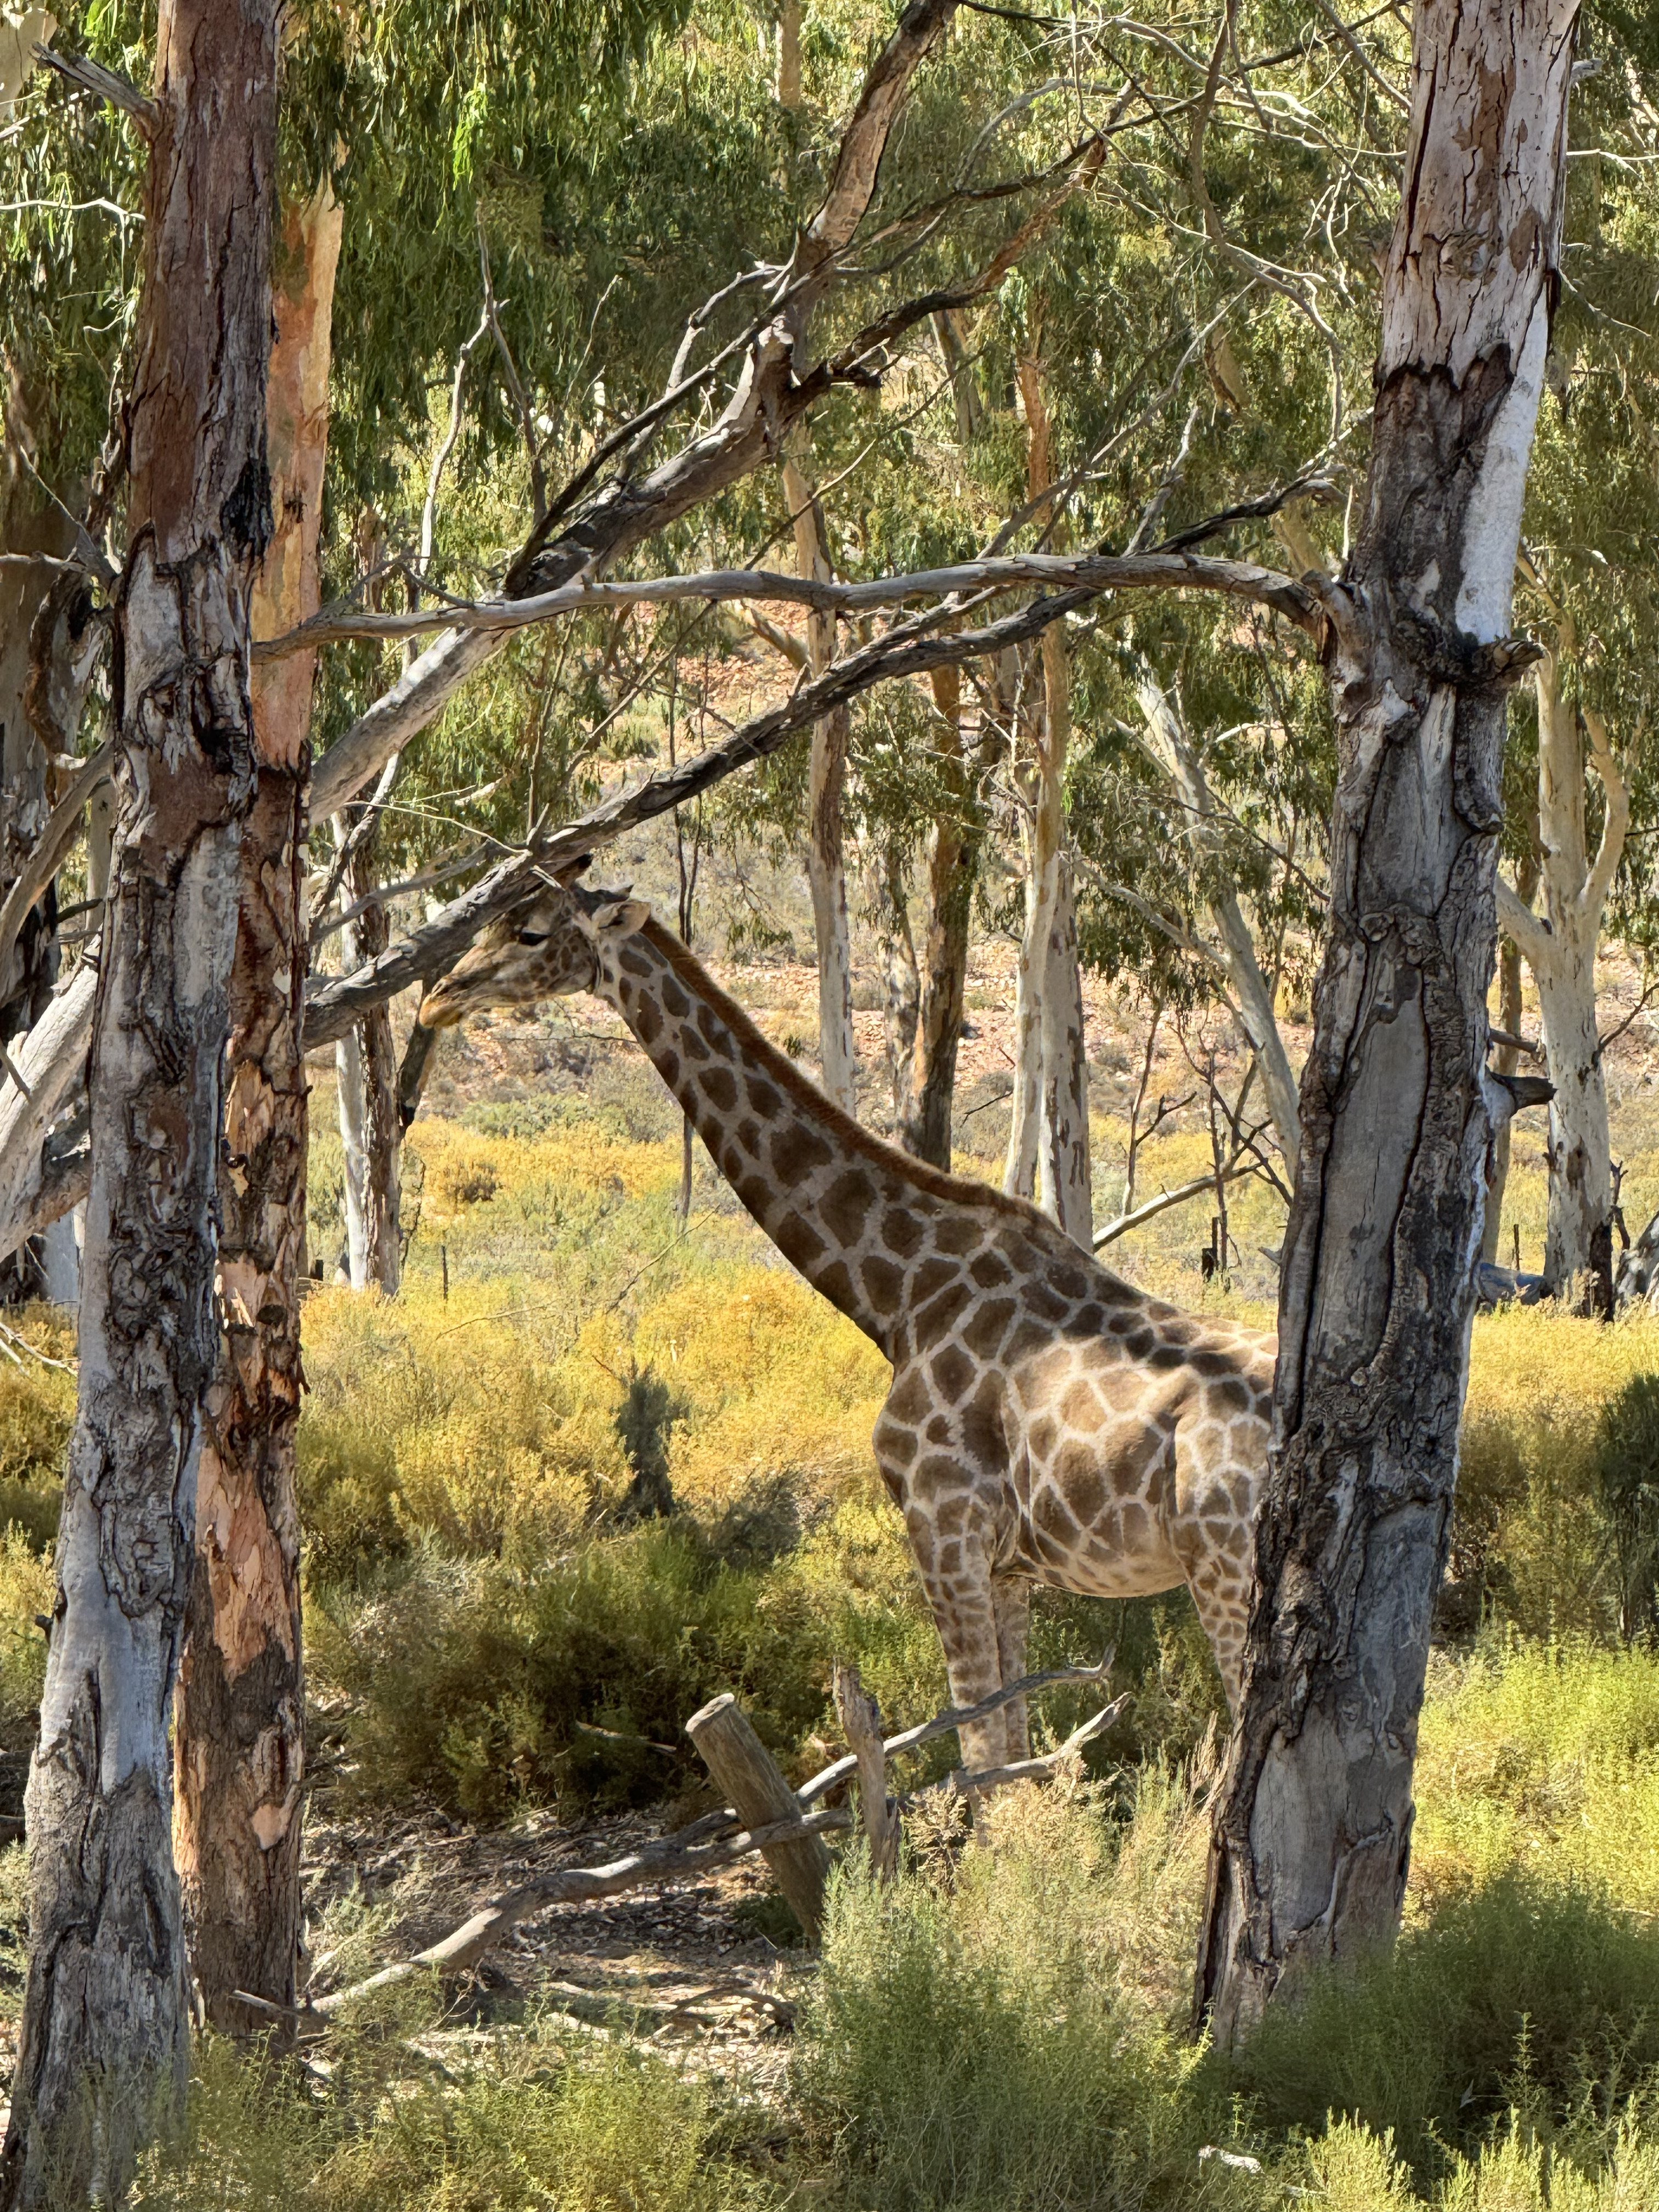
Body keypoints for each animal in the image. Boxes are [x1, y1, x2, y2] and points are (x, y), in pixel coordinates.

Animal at [419, 877, 1274, 1767]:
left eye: (529, 931)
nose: (436, 999)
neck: (897, 1296)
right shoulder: (1006, 1568)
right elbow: (1010, 1755)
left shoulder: (942, 1529)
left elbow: (981, 1758)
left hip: (1225, 1573)